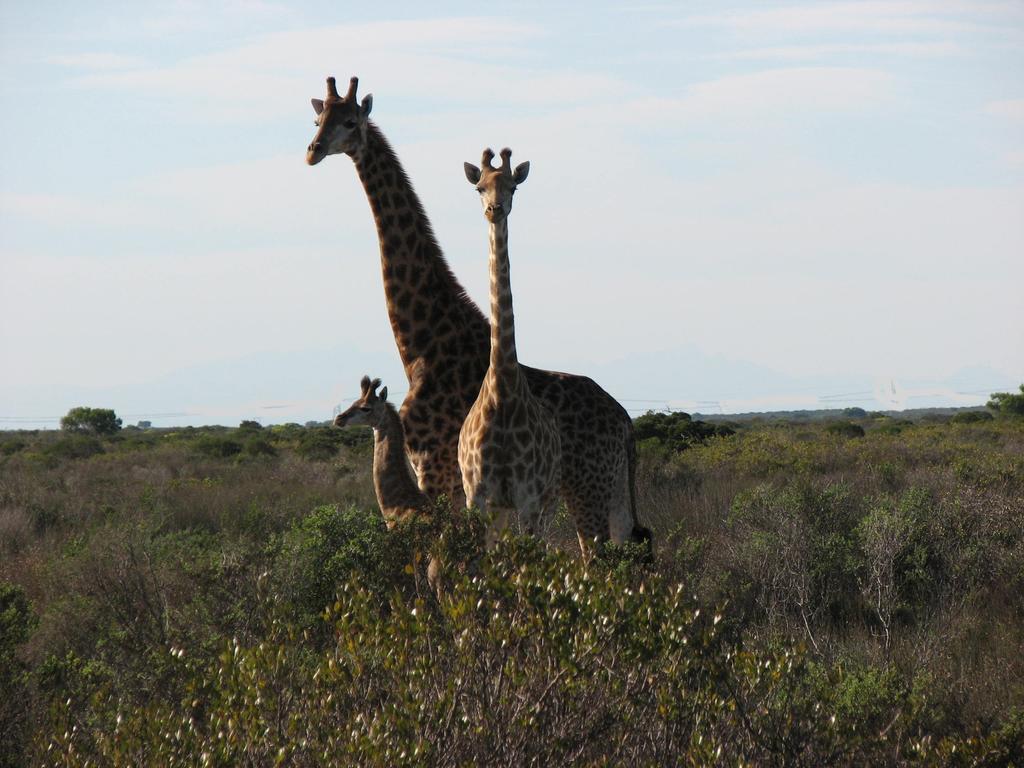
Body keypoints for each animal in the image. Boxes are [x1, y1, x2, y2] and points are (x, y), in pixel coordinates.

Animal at [462, 145, 565, 540]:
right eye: (479, 187)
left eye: (513, 188)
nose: (495, 209)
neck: (503, 391)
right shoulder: (476, 496)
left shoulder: (529, 498)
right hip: (498, 507)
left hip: (547, 500)